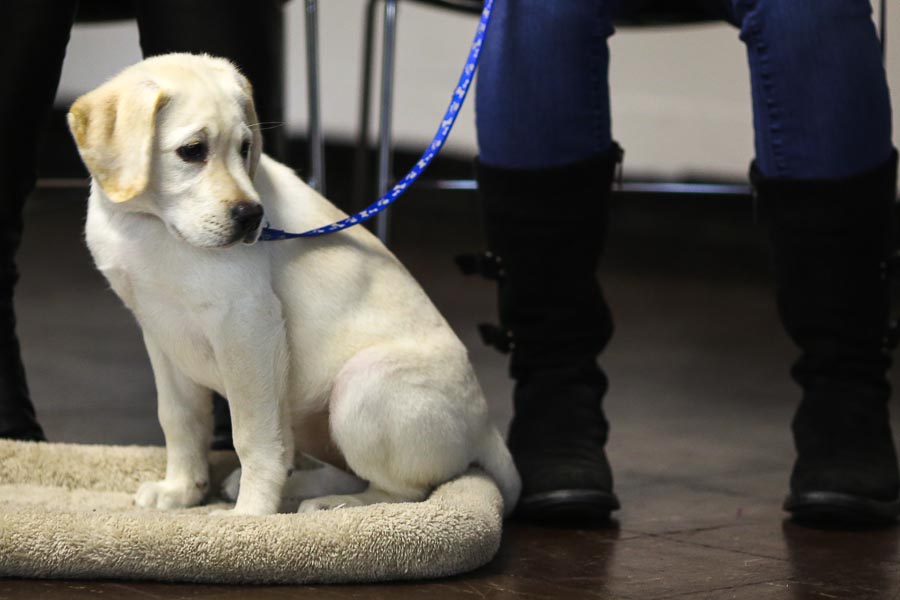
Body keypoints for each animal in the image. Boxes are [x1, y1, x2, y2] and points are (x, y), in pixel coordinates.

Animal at [68, 54, 520, 516]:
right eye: (192, 151)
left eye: (245, 148)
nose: (252, 217)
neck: (147, 224)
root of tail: (486, 425)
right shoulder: (161, 332)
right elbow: (179, 419)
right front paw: (181, 491)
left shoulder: (248, 323)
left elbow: (252, 437)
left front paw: (251, 514)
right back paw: (300, 488)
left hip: (361, 385)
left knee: (403, 492)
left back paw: (333, 504)